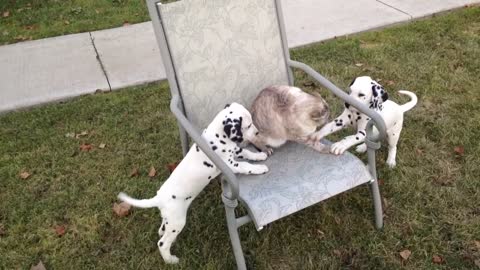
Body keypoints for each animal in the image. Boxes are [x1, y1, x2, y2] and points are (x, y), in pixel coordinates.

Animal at [116, 102, 266, 264]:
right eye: (248, 125)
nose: (258, 132)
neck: (216, 137)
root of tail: (158, 198)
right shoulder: (230, 165)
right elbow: (246, 166)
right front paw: (260, 168)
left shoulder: (236, 151)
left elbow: (247, 153)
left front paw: (260, 155)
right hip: (177, 222)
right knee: (162, 243)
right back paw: (171, 260)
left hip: (170, 219)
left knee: (162, 228)